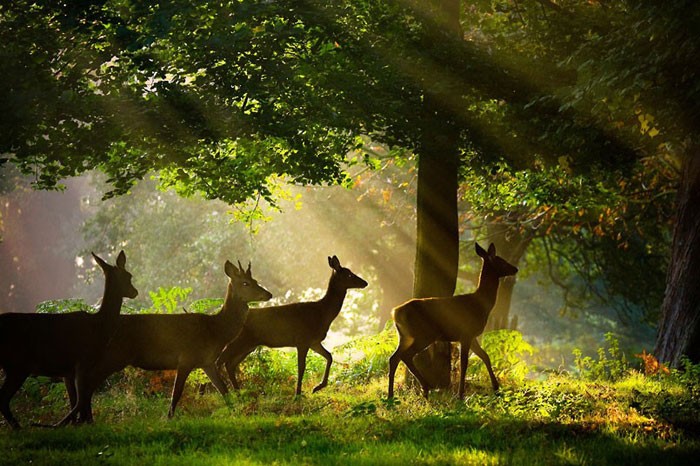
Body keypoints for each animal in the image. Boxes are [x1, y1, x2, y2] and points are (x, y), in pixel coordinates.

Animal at [0, 251, 137, 430]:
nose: (135, 292)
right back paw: (20, 428)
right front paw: (84, 423)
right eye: (128, 276)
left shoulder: (68, 371)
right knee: (2, 399)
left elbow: (75, 399)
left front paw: (76, 423)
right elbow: (82, 398)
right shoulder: (82, 361)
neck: (98, 328)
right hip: (17, 364)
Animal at [58, 260, 270, 424]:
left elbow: (223, 390)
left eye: (255, 280)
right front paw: (168, 418)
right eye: (245, 283)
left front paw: (236, 413)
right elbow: (176, 393)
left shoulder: (207, 362)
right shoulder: (186, 358)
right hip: (113, 355)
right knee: (87, 384)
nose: (268, 294)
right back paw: (79, 420)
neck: (216, 331)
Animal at [219, 256, 370, 396]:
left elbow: (329, 356)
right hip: (237, 342)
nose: (365, 282)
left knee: (230, 364)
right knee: (222, 361)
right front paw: (298, 393)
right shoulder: (302, 340)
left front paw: (318, 387)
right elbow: (301, 367)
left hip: (248, 346)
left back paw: (238, 392)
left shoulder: (313, 341)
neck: (322, 313)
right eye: (349, 274)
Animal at [388, 242, 520, 398]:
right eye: (501, 260)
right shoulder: (466, 333)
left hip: (405, 336)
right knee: (406, 355)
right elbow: (464, 363)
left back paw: (391, 395)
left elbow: (485, 356)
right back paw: (425, 388)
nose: (515, 269)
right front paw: (461, 395)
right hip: (424, 334)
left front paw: (496, 386)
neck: (482, 304)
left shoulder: (472, 335)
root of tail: (396, 312)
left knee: (394, 358)